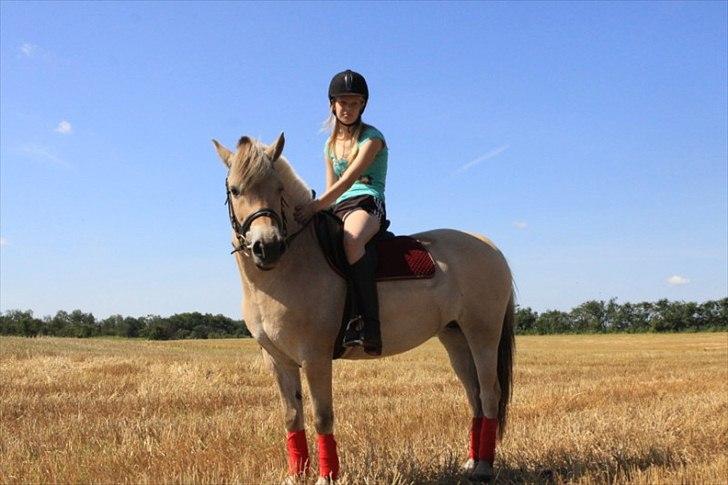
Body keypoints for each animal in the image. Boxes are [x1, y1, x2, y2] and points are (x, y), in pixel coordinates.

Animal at [212, 133, 515, 483]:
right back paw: (470, 462)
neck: (292, 264)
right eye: (235, 190)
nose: (268, 246)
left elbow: (322, 416)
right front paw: (296, 475)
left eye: (278, 189)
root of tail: (490, 247)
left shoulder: (314, 357)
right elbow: (292, 416)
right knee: (474, 396)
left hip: (483, 334)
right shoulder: (277, 359)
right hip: (455, 337)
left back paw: (484, 467)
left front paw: (326, 476)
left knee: (490, 393)